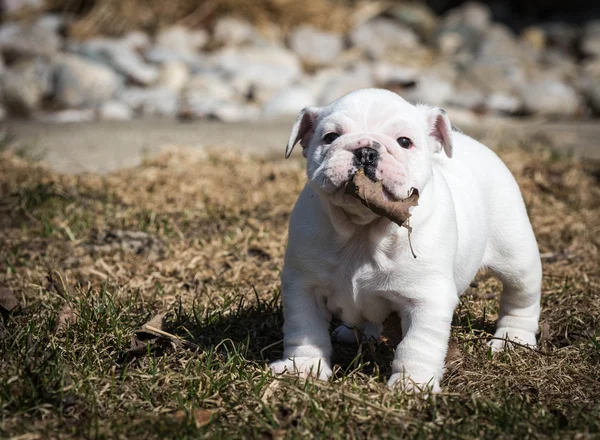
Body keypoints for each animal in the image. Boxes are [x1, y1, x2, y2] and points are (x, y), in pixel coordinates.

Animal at [270, 87, 540, 390]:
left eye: (404, 142)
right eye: (330, 137)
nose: (366, 151)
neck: (363, 229)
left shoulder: (426, 299)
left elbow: (417, 345)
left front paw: (411, 384)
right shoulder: (304, 286)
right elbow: (305, 329)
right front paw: (302, 368)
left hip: (515, 255)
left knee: (520, 295)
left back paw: (512, 340)